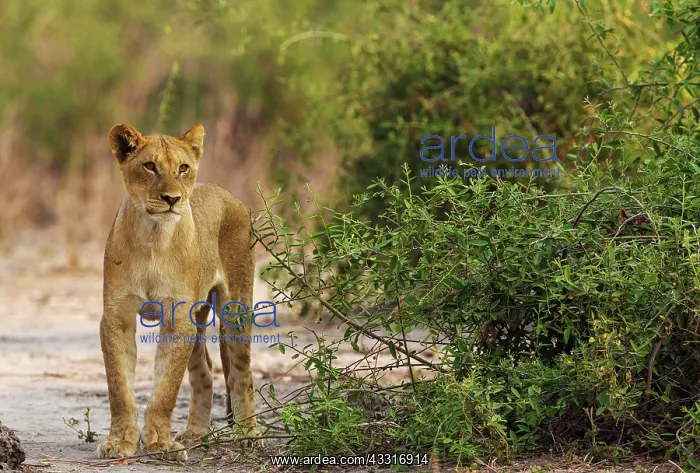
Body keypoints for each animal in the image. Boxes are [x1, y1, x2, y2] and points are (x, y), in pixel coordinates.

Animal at [96, 123, 258, 460]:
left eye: (183, 168)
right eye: (149, 166)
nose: (172, 198)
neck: (153, 239)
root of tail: (228, 194)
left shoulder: (177, 319)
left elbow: (166, 389)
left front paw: (160, 443)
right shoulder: (117, 318)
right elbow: (119, 387)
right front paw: (120, 442)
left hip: (235, 310)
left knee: (241, 373)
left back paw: (248, 435)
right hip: (197, 317)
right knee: (205, 372)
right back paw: (196, 433)